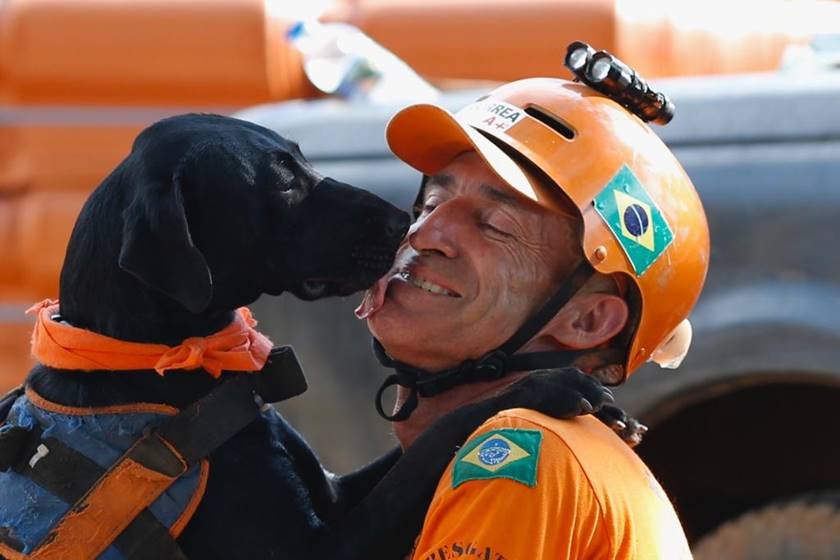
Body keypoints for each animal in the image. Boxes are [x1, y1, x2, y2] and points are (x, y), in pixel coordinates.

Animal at [0, 115, 616, 560]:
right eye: (285, 181)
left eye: (302, 159)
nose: (405, 222)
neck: (158, 360)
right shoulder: (316, 549)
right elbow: (437, 440)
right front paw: (542, 387)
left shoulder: (334, 493)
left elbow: (414, 451)